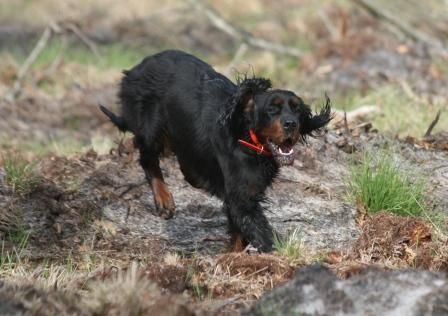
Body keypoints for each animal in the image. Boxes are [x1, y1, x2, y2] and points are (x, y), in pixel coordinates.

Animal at [101, 50, 332, 252]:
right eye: (272, 109)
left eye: (297, 109)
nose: (291, 124)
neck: (247, 138)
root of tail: (135, 69)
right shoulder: (241, 197)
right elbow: (257, 228)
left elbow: (239, 230)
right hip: (151, 127)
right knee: (148, 160)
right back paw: (164, 199)